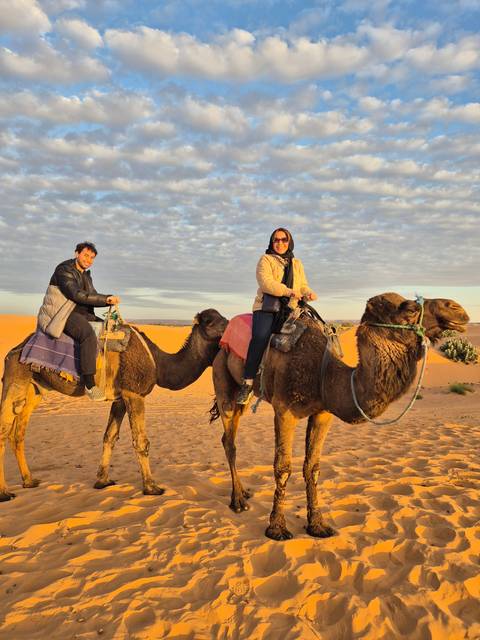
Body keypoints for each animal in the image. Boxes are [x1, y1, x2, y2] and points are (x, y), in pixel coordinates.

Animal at [0, 308, 228, 501]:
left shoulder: (120, 398)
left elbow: (109, 436)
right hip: (16, 378)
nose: (229, 327)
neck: (158, 362)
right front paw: (151, 487)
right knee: (4, 429)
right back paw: (5, 492)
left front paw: (102, 480)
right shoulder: (134, 393)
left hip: (36, 387)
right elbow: (141, 442)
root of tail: (15, 349)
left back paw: (29, 481)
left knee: (18, 432)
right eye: (211, 322)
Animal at [210, 293, 469, 540]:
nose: (457, 308)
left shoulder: (323, 412)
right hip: (222, 378)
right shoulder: (284, 410)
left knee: (228, 434)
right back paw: (238, 501)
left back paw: (244, 492)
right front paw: (276, 528)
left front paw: (318, 525)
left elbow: (312, 467)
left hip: (241, 397)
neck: (324, 373)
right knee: (230, 440)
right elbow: (283, 467)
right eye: (409, 308)